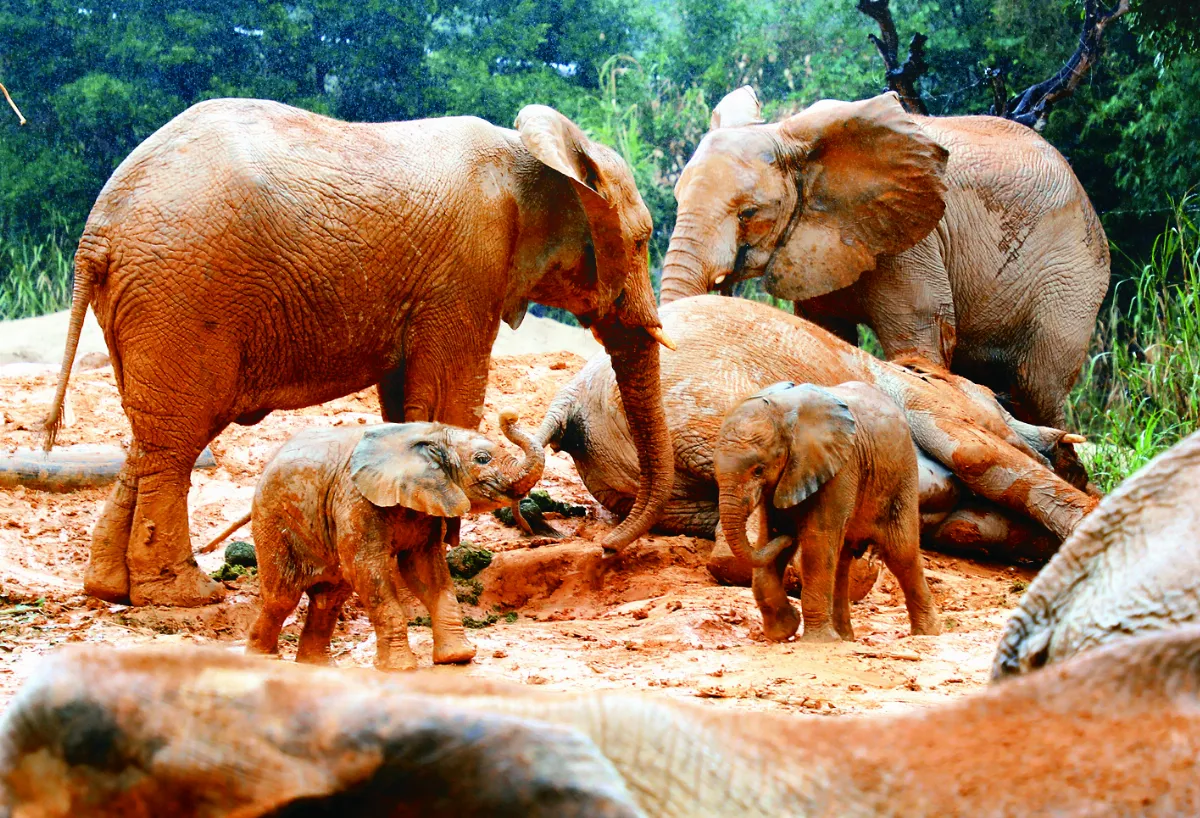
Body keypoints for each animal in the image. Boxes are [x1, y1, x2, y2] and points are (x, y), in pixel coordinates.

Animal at [39, 99, 673, 608]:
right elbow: (451, 392)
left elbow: (406, 398)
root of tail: (96, 232)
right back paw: (185, 595)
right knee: (177, 441)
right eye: (643, 240)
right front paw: (442, 560)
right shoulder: (467, 272)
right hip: (182, 297)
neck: (538, 152)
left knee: (152, 439)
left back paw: (111, 589)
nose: (605, 548)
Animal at [232, 410, 543, 671]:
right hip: (273, 518)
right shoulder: (356, 498)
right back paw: (263, 660)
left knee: (329, 598)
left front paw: (457, 658)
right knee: (283, 597)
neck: (428, 434)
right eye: (482, 459)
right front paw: (400, 669)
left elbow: (424, 570)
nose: (509, 416)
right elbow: (368, 570)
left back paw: (318, 666)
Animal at [538, 295, 1096, 575]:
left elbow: (968, 527)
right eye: (998, 401)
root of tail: (571, 399)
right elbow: (980, 454)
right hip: (707, 397)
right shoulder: (929, 405)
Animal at [660, 87, 1110, 428]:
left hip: (1072, 274)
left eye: (749, 213)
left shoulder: (910, 241)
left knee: (1038, 388)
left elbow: (919, 341)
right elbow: (825, 335)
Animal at [714, 381, 939, 642]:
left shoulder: (840, 467)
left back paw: (928, 634)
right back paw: (845, 638)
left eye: (758, 470)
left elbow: (817, 541)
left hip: (902, 476)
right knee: (841, 561)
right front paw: (785, 629)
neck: (785, 410)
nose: (790, 535)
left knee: (901, 553)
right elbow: (770, 538)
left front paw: (817, 641)